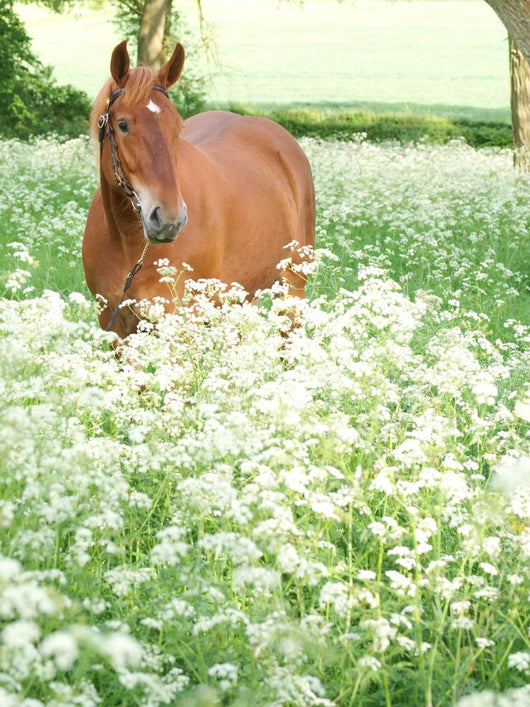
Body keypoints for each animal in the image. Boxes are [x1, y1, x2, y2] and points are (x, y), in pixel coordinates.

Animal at [82, 41, 315, 339]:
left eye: (177, 125)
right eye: (122, 125)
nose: (169, 219)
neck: (130, 244)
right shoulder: (116, 328)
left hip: (291, 292)